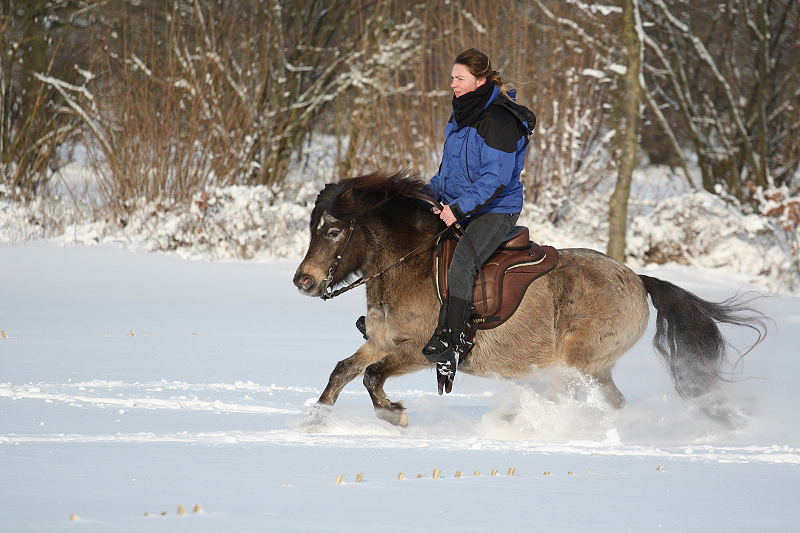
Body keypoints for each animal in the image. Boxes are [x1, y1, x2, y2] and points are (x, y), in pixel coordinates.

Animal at [294, 170, 768, 428]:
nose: (304, 281)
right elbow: (343, 371)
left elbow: (373, 377)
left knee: (572, 399)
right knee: (612, 403)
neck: (408, 266)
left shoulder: (421, 352)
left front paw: (396, 414)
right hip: (594, 369)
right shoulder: (382, 341)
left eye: (333, 230)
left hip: (577, 363)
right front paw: (316, 422)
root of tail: (637, 279)